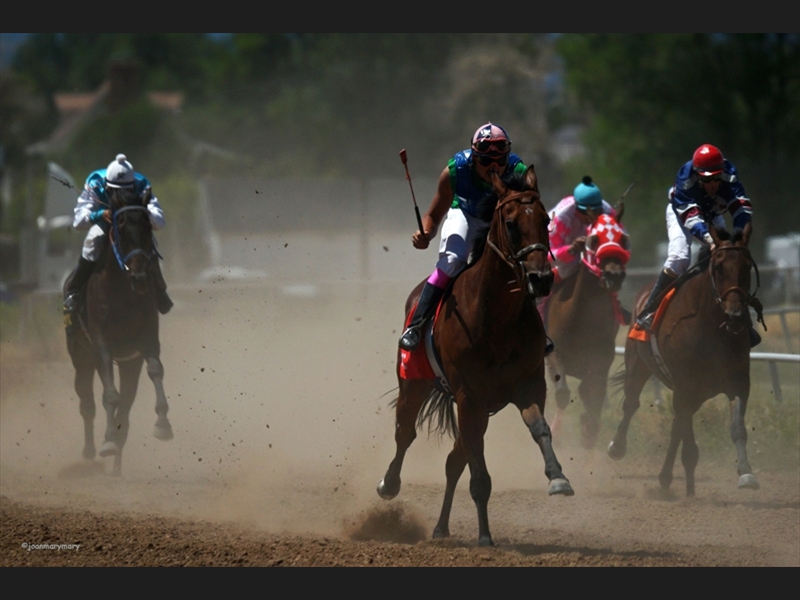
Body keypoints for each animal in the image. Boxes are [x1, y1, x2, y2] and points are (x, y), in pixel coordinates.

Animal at [64, 192, 173, 474]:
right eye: (121, 231)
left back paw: (116, 465)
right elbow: (109, 396)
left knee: (125, 406)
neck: (122, 291)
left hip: (128, 363)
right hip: (81, 356)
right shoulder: (101, 342)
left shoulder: (146, 338)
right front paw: (107, 441)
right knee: (87, 402)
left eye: (147, 230)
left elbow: (155, 370)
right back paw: (91, 450)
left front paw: (163, 424)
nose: (140, 277)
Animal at [376, 166, 576, 548]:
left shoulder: (527, 385)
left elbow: (540, 428)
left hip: (480, 408)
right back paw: (389, 484)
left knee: (454, 460)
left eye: (546, 220)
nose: (541, 279)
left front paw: (558, 477)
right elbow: (479, 474)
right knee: (405, 433)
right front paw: (484, 537)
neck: (494, 317)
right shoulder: (468, 395)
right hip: (415, 383)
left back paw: (441, 527)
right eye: (511, 223)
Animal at [544, 209, 632, 448]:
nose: (613, 275)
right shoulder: (554, 353)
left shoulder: (601, 361)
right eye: (594, 239)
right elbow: (563, 393)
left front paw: (587, 430)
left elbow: (593, 403)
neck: (579, 319)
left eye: (623, 239)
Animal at [608, 225, 764, 496]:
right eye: (718, 267)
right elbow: (676, 429)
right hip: (637, 363)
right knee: (631, 403)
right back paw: (617, 446)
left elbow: (736, 427)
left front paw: (746, 473)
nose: (735, 316)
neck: (711, 328)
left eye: (746, 266)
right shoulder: (684, 387)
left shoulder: (737, 383)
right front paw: (665, 478)